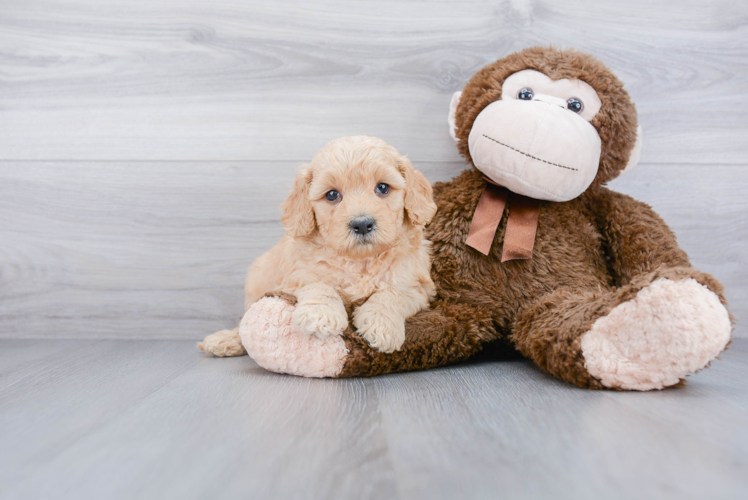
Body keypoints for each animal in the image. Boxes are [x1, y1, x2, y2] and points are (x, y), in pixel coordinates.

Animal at [199, 136, 438, 356]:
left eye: (382, 188)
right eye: (332, 194)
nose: (362, 224)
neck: (359, 261)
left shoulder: (416, 287)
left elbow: (391, 295)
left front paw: (381, 325)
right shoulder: (294, 278)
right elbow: (318, 284)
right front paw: (321, 315)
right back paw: (226, 340)